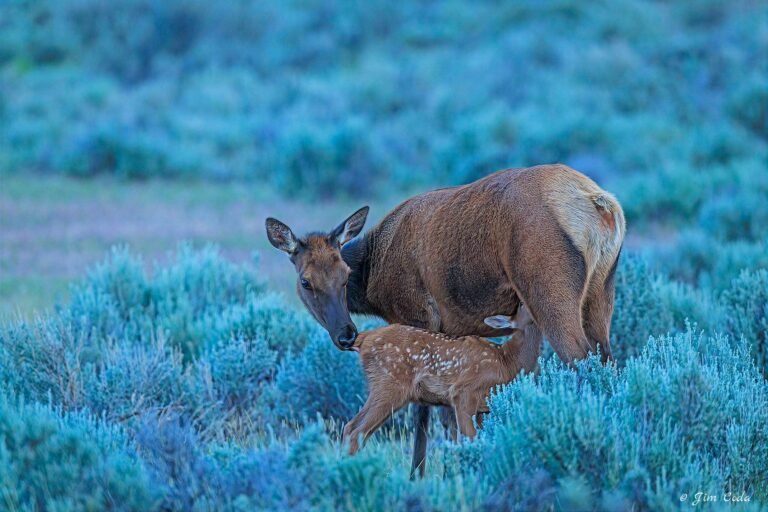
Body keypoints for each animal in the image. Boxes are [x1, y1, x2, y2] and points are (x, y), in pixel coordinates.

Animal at [343, 304, 535, 456]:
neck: (507, 362)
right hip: (390, 384)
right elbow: (470, 438)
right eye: (522, 306)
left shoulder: (483, 408)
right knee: (356, 431)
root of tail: (365, 338)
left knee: (353, 429)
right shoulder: (464, 392)